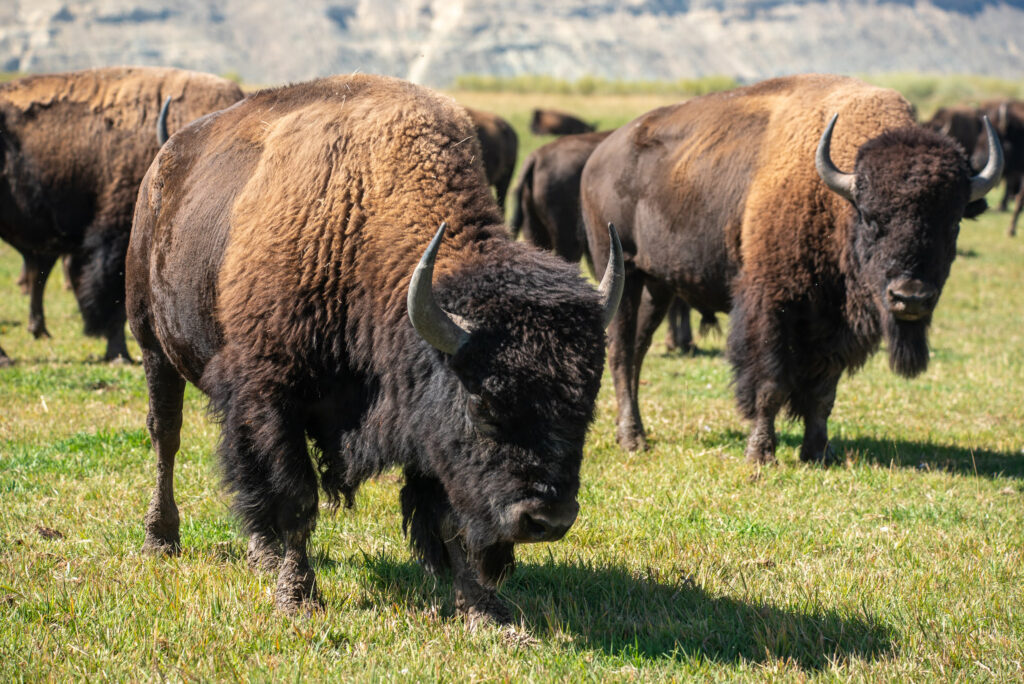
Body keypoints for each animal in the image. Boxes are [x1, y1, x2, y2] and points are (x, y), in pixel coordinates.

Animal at [127, 74, 623, 623]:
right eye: (483, 404)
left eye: (586, 404)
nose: (547, 519)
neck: (359, 219)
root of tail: (163, 163)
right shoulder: (272, 398)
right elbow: (296, 500)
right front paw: (298, 598)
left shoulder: (423, 425)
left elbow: (446, 516)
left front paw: (483, 611)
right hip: (153, 344)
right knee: (167, 437)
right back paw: (161, 540)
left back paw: (260, 554)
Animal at [582, 74, 1001, 461]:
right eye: (870, 218)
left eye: (953, 223)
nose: (910, 297)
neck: (833, 199)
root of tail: (600, 156)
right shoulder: (771, 305)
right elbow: (771, 384)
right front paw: (760, 453)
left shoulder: (835, 325)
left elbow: (823, 392)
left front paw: (818, 452)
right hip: (620, 270)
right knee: (621, 352)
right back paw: (633, 439)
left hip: (658, 286)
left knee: (637, 351)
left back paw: (635, 433)